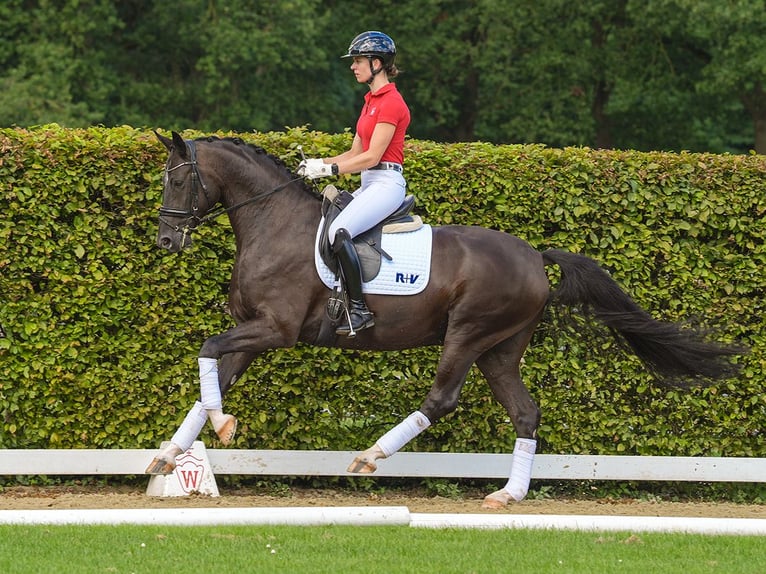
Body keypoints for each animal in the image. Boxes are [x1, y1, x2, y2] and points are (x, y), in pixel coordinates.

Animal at [146, 130, 744, 508]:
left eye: (178, 180)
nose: (166, 241)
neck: (272, 222)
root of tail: (535, 256)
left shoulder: (276, 329)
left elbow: (207, 348)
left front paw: (214, 431)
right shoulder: (254, 332)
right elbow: (212, 377)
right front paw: (174, 452)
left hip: (469, 332)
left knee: (442, 398)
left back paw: (370, 457)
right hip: (501, 348)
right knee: (525, 412)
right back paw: (508, 494)